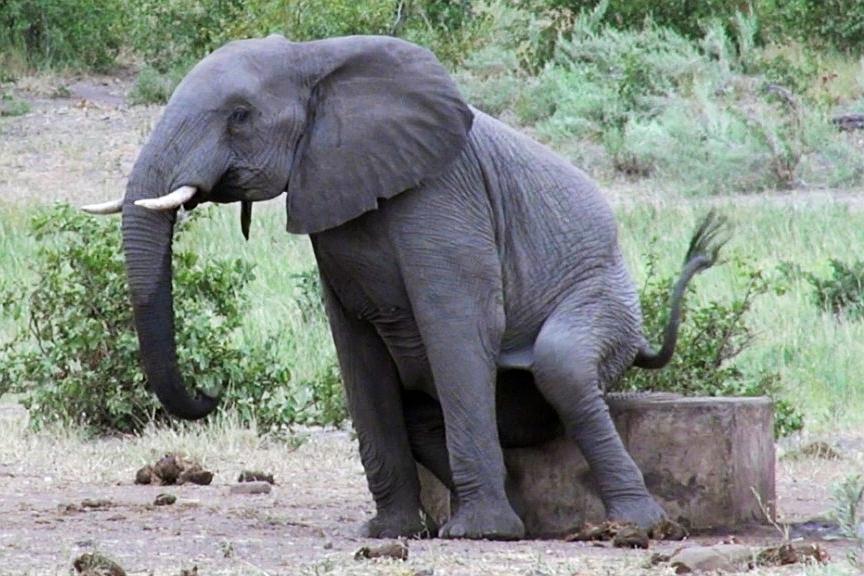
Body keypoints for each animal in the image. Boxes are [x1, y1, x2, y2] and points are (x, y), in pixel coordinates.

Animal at [84, 35, 724, 540]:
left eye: (239, 115)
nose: (211, 391)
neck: (317, 58)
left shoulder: (444, 192)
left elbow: (458, 321)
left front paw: (480, 533)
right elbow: (356, 349)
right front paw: (390, 532)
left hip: (607, 296)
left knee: (563, 365)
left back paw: (637, 526)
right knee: (430, 414)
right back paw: (523, 511)